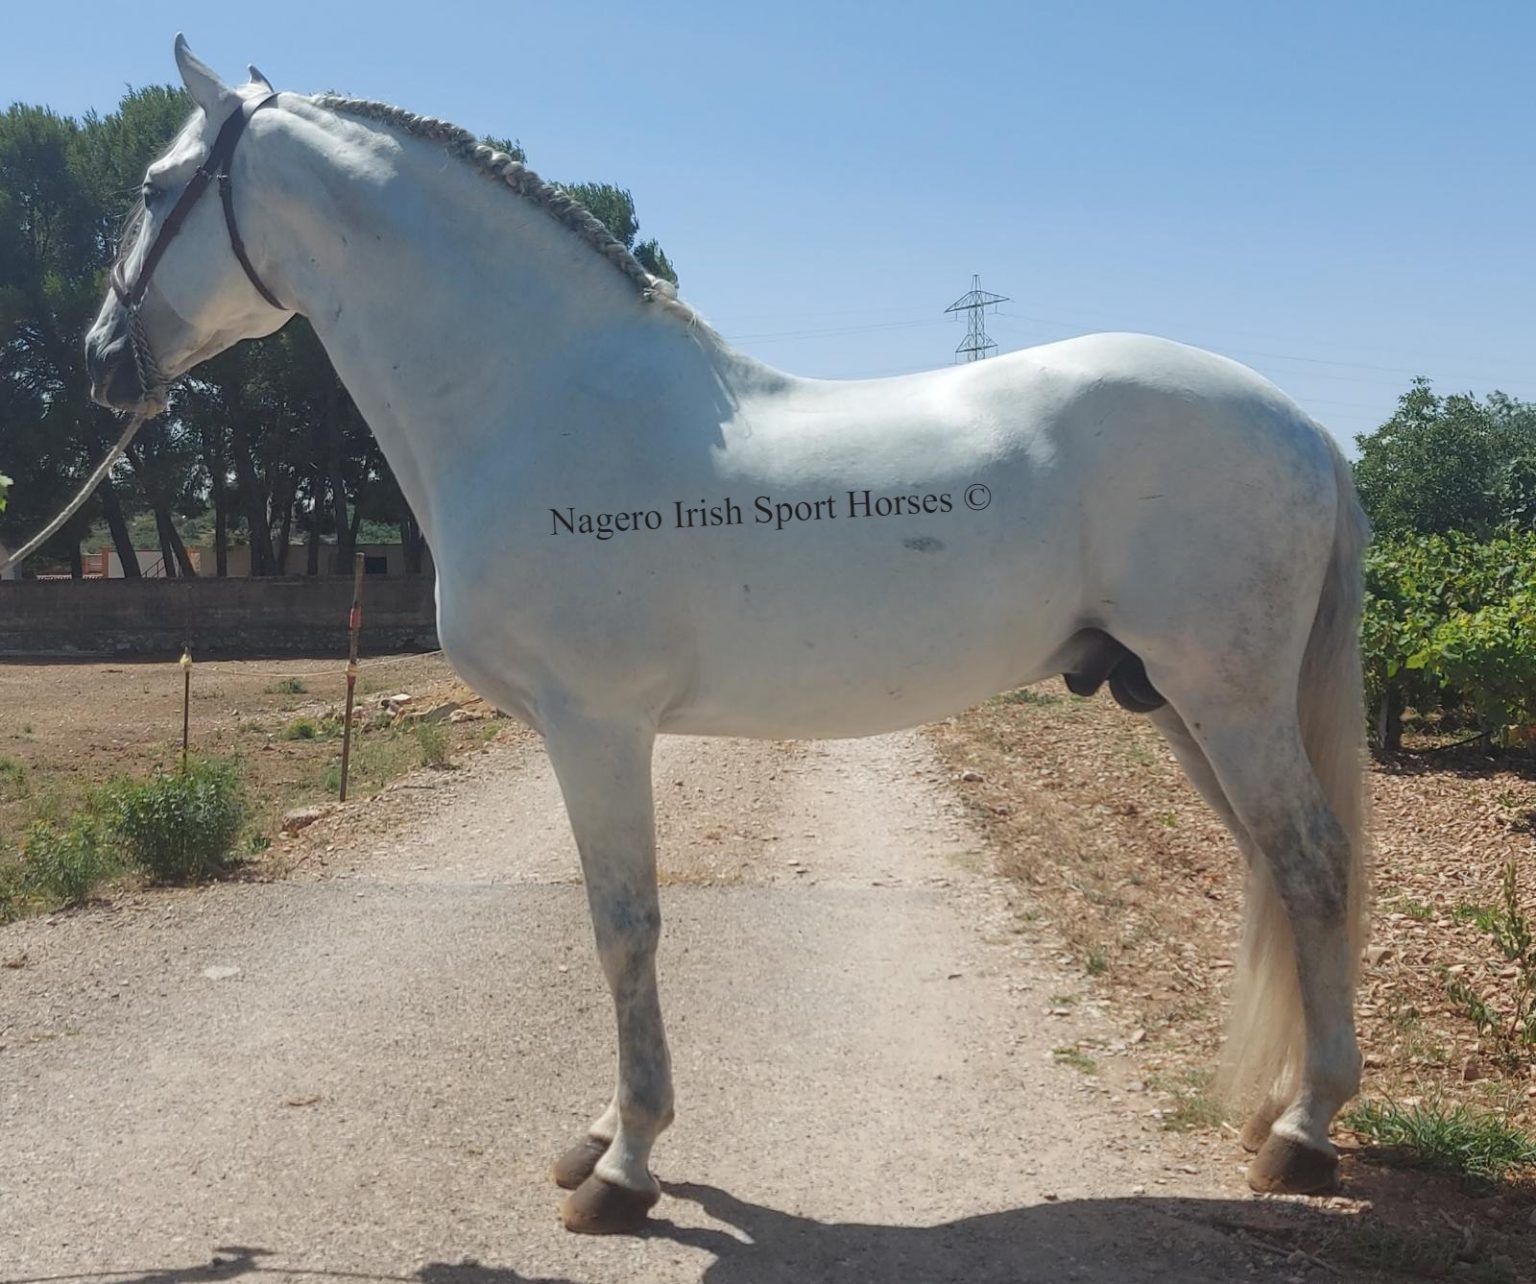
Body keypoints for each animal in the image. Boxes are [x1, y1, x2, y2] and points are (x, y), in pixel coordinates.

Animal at [85, 37, 1370, 1235]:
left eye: (157, 187)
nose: (101, 360)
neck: (538, 399)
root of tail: (1301, 425)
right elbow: (617, 926)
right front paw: (600, 1132)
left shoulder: (596, 726)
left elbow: (624, 927)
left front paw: (625, 1165)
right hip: (1180, 702)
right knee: (1279, 867)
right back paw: (1283, 1107)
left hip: (1228, 696)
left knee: (1311, 863)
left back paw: (1303, 1134)